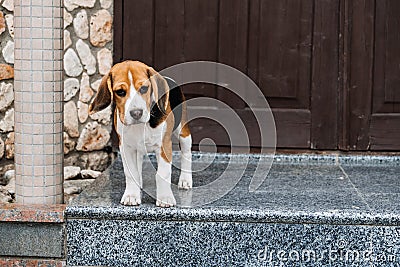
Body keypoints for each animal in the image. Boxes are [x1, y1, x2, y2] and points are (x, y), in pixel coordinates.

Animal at [89, 61, 192, 209]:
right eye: (120, 92)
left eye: (144, 88)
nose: (136, 113)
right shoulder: (126, 148)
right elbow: (131, 173)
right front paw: (132, 195)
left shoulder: (164, 146)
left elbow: (163, 173)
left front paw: (165, 198)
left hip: (183, 132)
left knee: (186, 153)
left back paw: (185, 180)